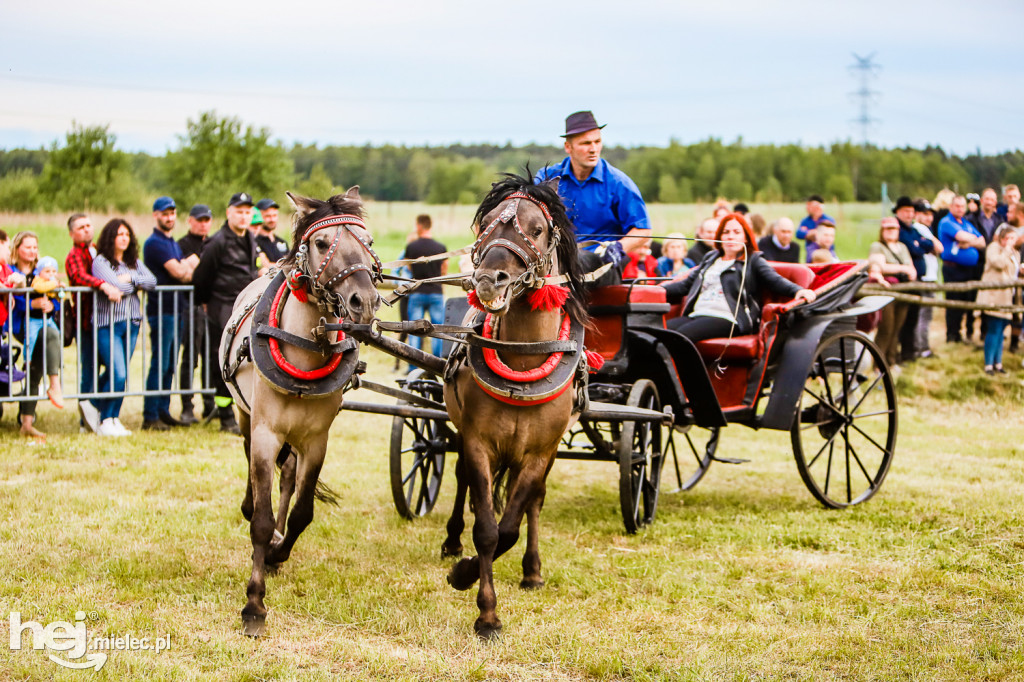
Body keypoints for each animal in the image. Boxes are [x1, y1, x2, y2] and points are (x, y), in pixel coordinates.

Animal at [221, 186, 385, 630]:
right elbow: (260, 520)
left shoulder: (316, 440)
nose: (364, 301)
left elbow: (302, 512)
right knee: (250, 470)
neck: (306, 345)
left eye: (368, 241)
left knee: (289, 479)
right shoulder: (265, 433)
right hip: (245, 418)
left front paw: (277, 553)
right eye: (322, 243)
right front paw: (254, 605)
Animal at [440, 171, 593, 638]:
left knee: (534, 503)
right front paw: (484, 608)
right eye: (485, 224)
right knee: (465, 486)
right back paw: (452, 539)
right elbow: (488, 530)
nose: (490, 280)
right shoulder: (477, 443)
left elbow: (509, 525)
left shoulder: (539, 452)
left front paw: (471, 576)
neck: (524, 357)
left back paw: (532, 570)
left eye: (537, 228)